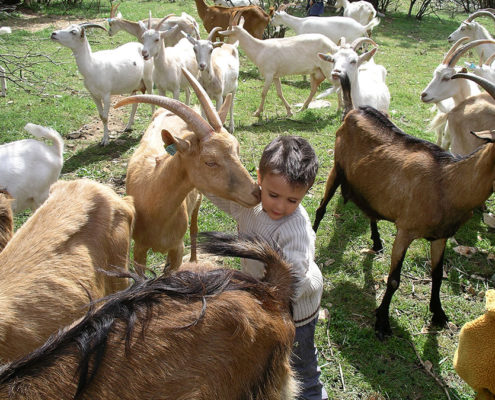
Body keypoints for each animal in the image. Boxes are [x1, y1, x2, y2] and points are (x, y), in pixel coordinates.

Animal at [112, 68, 260, 272]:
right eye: (210, 162)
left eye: (237, 150)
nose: (256, 192)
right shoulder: (139, 249)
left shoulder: (177, 248)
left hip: (198, 199)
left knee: (194, 228)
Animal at [314, 72, 495, 340]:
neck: (448, 182)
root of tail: (353, 109)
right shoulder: (406, 230)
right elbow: (394, 279)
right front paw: (382, 322)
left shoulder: (441, 236)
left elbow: (437, 275)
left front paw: (438, 314)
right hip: (337, 169)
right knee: (321, 209)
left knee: (371, 211)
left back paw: (377, 242)